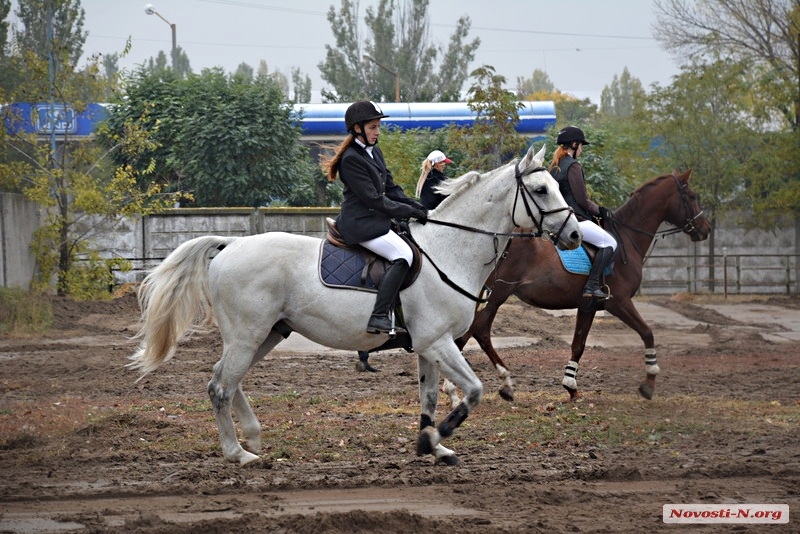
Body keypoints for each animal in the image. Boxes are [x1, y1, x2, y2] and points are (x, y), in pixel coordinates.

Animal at [130, 146, 580, 468]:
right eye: (541, 190)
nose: (574, 234)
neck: (449, 250)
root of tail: (231, 244)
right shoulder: (438, 342)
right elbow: (472, 391)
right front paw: (439, 437)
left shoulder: (429, 346)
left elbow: (429, 398)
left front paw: (430, 444)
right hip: (248, 334)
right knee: (220, 386)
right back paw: (237, 453)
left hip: (266, 334)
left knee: (226, 379)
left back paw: (252, 437)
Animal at [444, 170, 712, 404]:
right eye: (692, 196)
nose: (706, 230)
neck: (627, 238)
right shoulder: (619, 302)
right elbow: (647, 332)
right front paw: (649, 383)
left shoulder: (588, 305)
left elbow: (578, 344)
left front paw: (571, 387)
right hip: (499, 293)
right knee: (477, 330)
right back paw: (477, 386)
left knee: (475, 331)